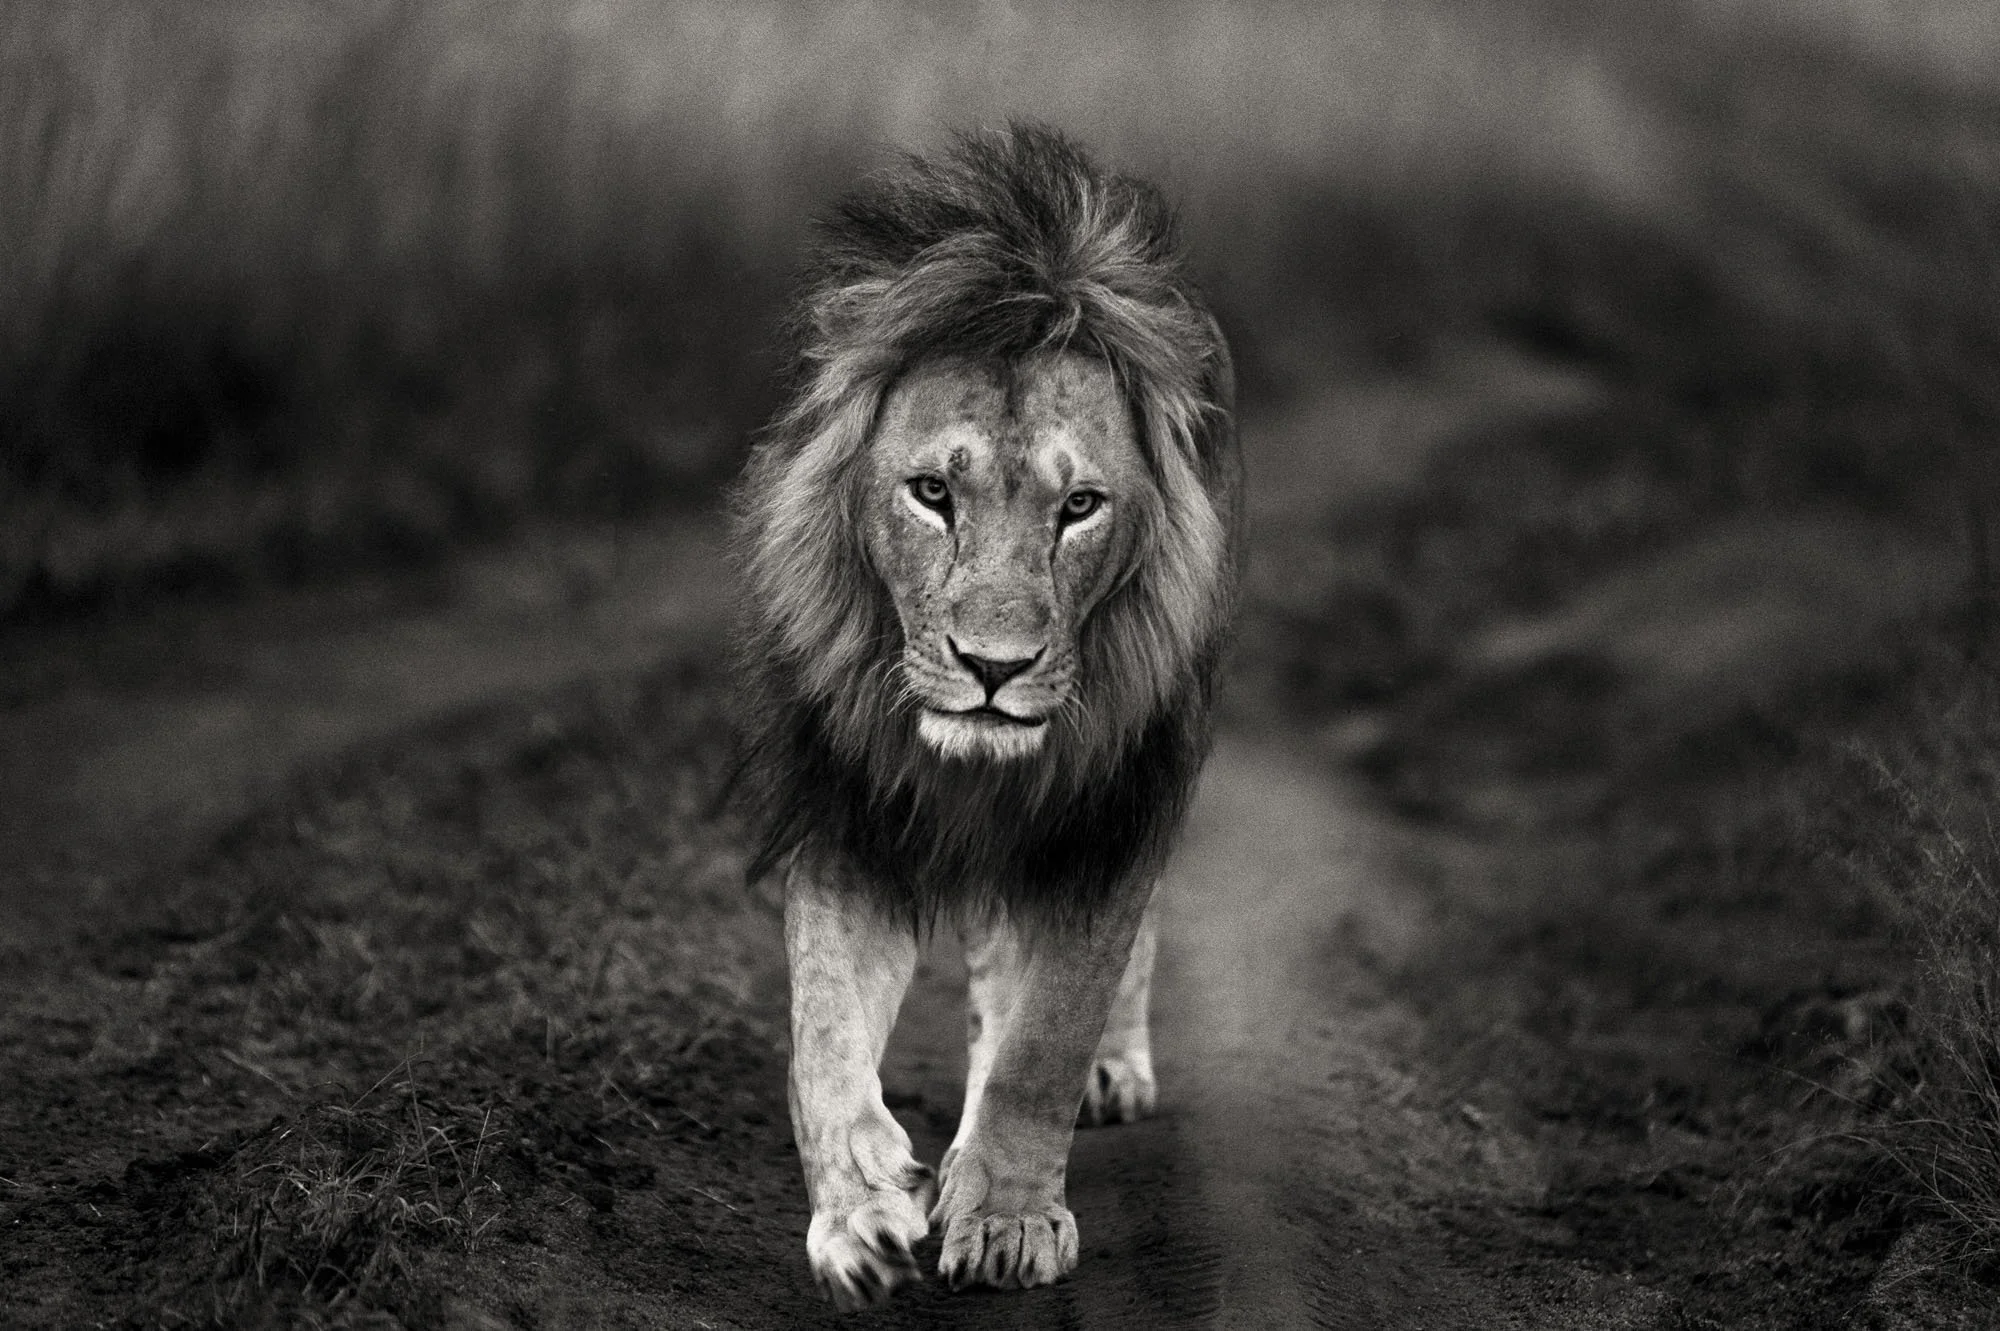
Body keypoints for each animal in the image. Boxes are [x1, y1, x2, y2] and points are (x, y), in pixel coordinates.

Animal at [731, 123, 1240, 1308]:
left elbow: (1044, 1040)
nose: (992, 668)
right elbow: (820, 1031)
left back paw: (1104, 1075)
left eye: (1079, 507)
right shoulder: (851, 821)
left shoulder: (1104, 826)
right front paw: (858, 1212)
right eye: (931, 493)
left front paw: (1006, 1215)